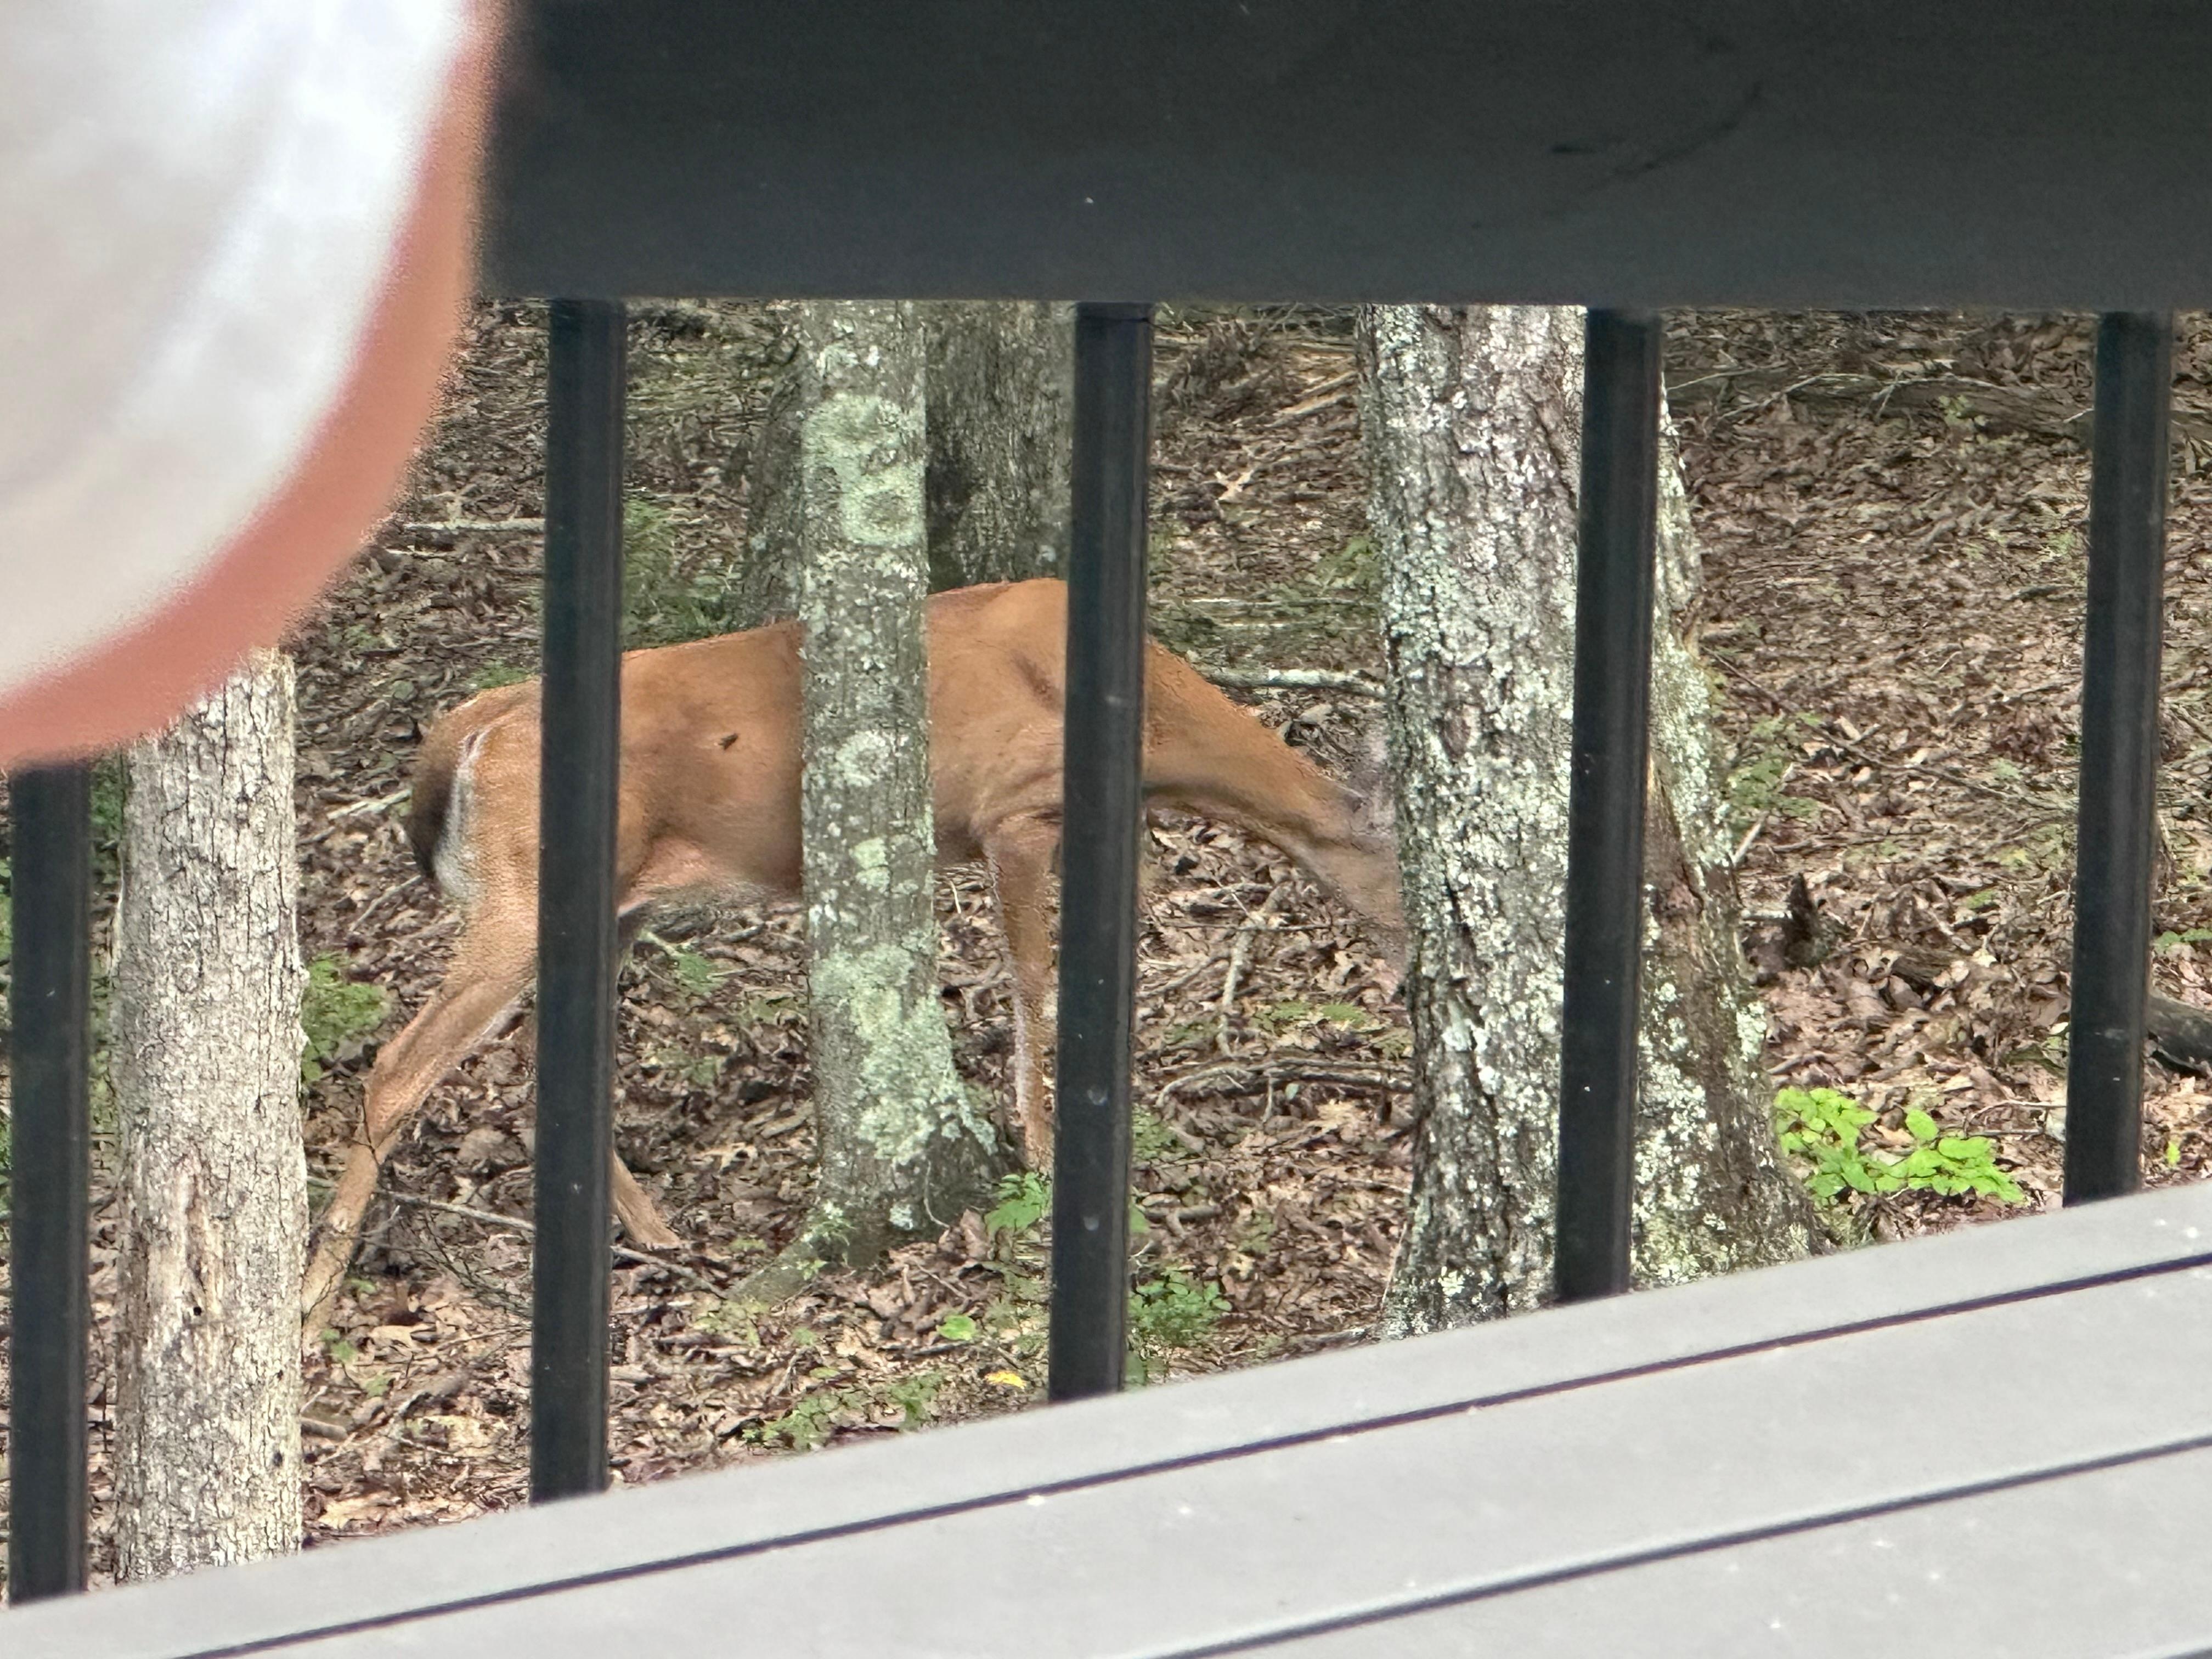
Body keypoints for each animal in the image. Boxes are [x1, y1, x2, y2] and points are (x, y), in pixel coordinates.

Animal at [301, 578, 1403, 1323]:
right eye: (1407, 860)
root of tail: (472, 722)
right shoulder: (1013, 812)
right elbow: (1032, 981)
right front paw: (1039, 1149)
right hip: (523, 899)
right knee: (399, 1063)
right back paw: (312, 1303)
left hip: (609, 908)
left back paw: (656, 1232)